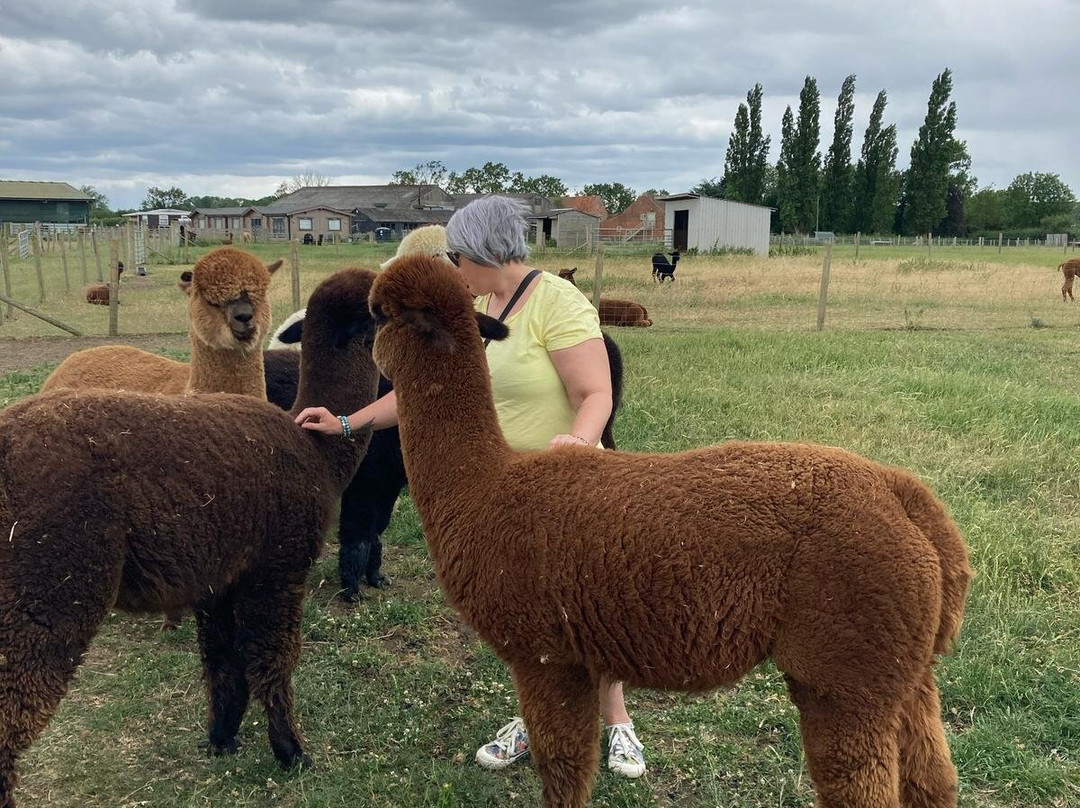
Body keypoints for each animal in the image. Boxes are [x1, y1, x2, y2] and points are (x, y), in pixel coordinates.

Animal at [0, 267, 380, 808]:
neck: (316, 451)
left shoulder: (219, 577)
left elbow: (222, 663)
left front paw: (222, 738)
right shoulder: (277, 567)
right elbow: (273, 662)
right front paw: (292, 752)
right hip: (47, 583)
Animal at [368, 254, 974, 808]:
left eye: (375, 313)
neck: (483, 484)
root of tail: (904, 497)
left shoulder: (545, 653)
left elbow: (563, 766)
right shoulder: (578, 652)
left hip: (844, 667)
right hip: (907, 668)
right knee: (936, 776)